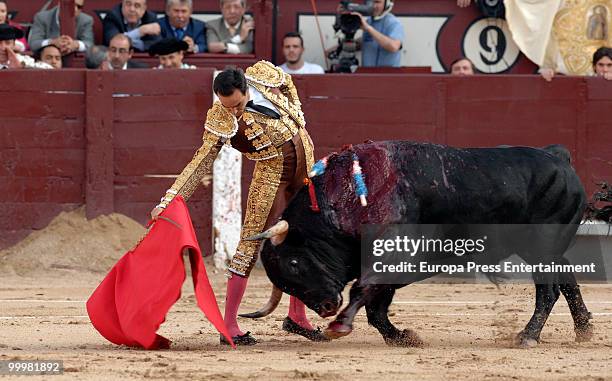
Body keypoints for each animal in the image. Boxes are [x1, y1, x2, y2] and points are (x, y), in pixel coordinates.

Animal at [244, 140, 596, 348]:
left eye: (294, 262)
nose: (326, 306)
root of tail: (558, 156)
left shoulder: (395, 258)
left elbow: (365, 293)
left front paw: (340, 325)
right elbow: (375, 307)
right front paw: (402, 337)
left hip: (542, 248)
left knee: (549, 290)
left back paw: (528, 336)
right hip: (545, 249)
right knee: (567, 277)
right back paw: (583, 330)